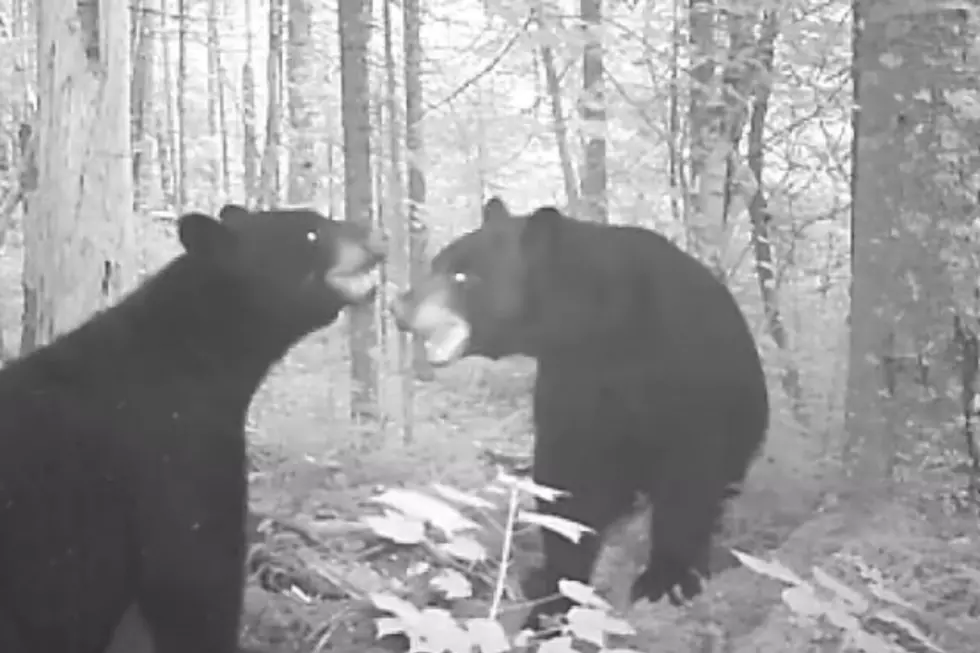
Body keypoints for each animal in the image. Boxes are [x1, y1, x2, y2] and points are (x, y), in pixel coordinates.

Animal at [388, 197, 764, 628]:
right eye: (438, 262)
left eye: (464, 275)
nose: (398, 304)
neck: (603, 324)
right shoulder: (571, 382)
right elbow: (566, 481)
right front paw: (555, 591)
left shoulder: (684, 373)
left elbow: (689, 477)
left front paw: (666, 579)